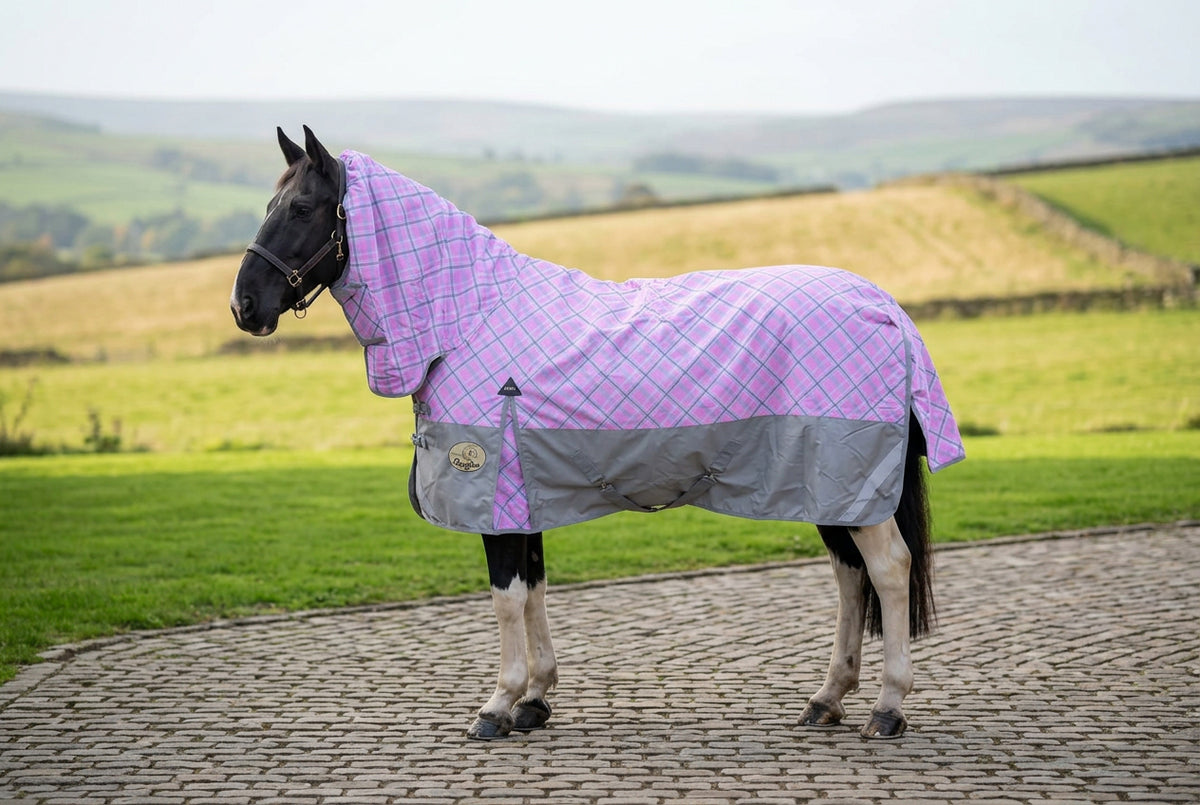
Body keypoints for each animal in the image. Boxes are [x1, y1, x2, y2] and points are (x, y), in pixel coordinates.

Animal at [230, 126, 965, 741]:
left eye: (302, 208)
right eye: (272, 203)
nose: (244, 305)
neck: (467, 318)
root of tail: (883, 306)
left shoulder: (495, 493)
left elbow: (506, 598)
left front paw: (496, 706)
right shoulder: (524, 494)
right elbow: (534, 589)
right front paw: (535, 699)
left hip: (849, 481)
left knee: (888, 570)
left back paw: (887, 709)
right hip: (829, 487)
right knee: (849, 576)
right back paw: (827, 698)